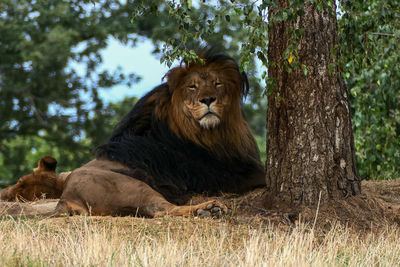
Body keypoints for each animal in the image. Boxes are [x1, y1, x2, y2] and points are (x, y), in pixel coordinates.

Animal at [4, 48, 266, 220]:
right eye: (192, 87)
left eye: (217, 83)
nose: (208, 99)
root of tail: (65, 198)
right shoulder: (226, 173)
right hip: (135, 187)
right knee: (163, 210)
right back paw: (208, 209)